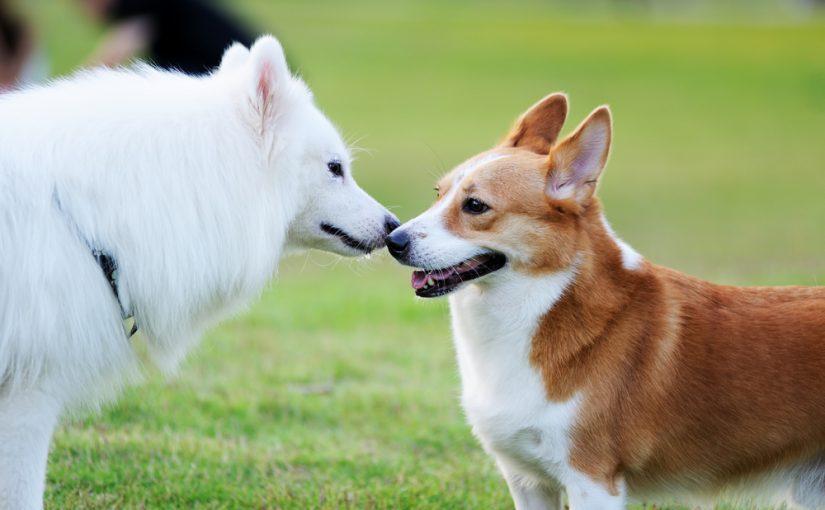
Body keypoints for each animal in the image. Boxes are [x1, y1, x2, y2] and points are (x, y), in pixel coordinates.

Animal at [386, 93, 824, 508]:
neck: (540, 305)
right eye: (438, 193)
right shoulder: (528, 481)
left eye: (475, 206)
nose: (392, 240)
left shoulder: (592, 480)